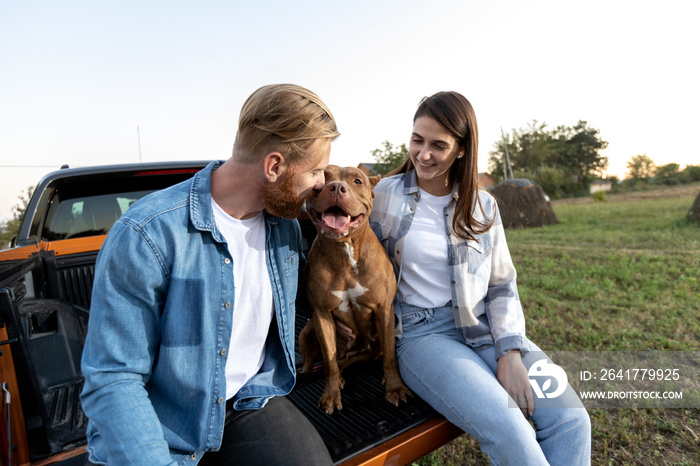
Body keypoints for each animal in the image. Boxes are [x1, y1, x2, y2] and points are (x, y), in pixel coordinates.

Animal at [300, 165, 410, 416]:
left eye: (357, 181)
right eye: (323, 177)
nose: (336, 188)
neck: (344, 253)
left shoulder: (384, 310)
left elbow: (390, 356)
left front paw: (395, 388)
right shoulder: (321, 314)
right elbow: (328, 361)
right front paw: (331, 394)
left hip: (372, 346)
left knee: (352, 359)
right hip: (306, 332)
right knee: (319, 364)